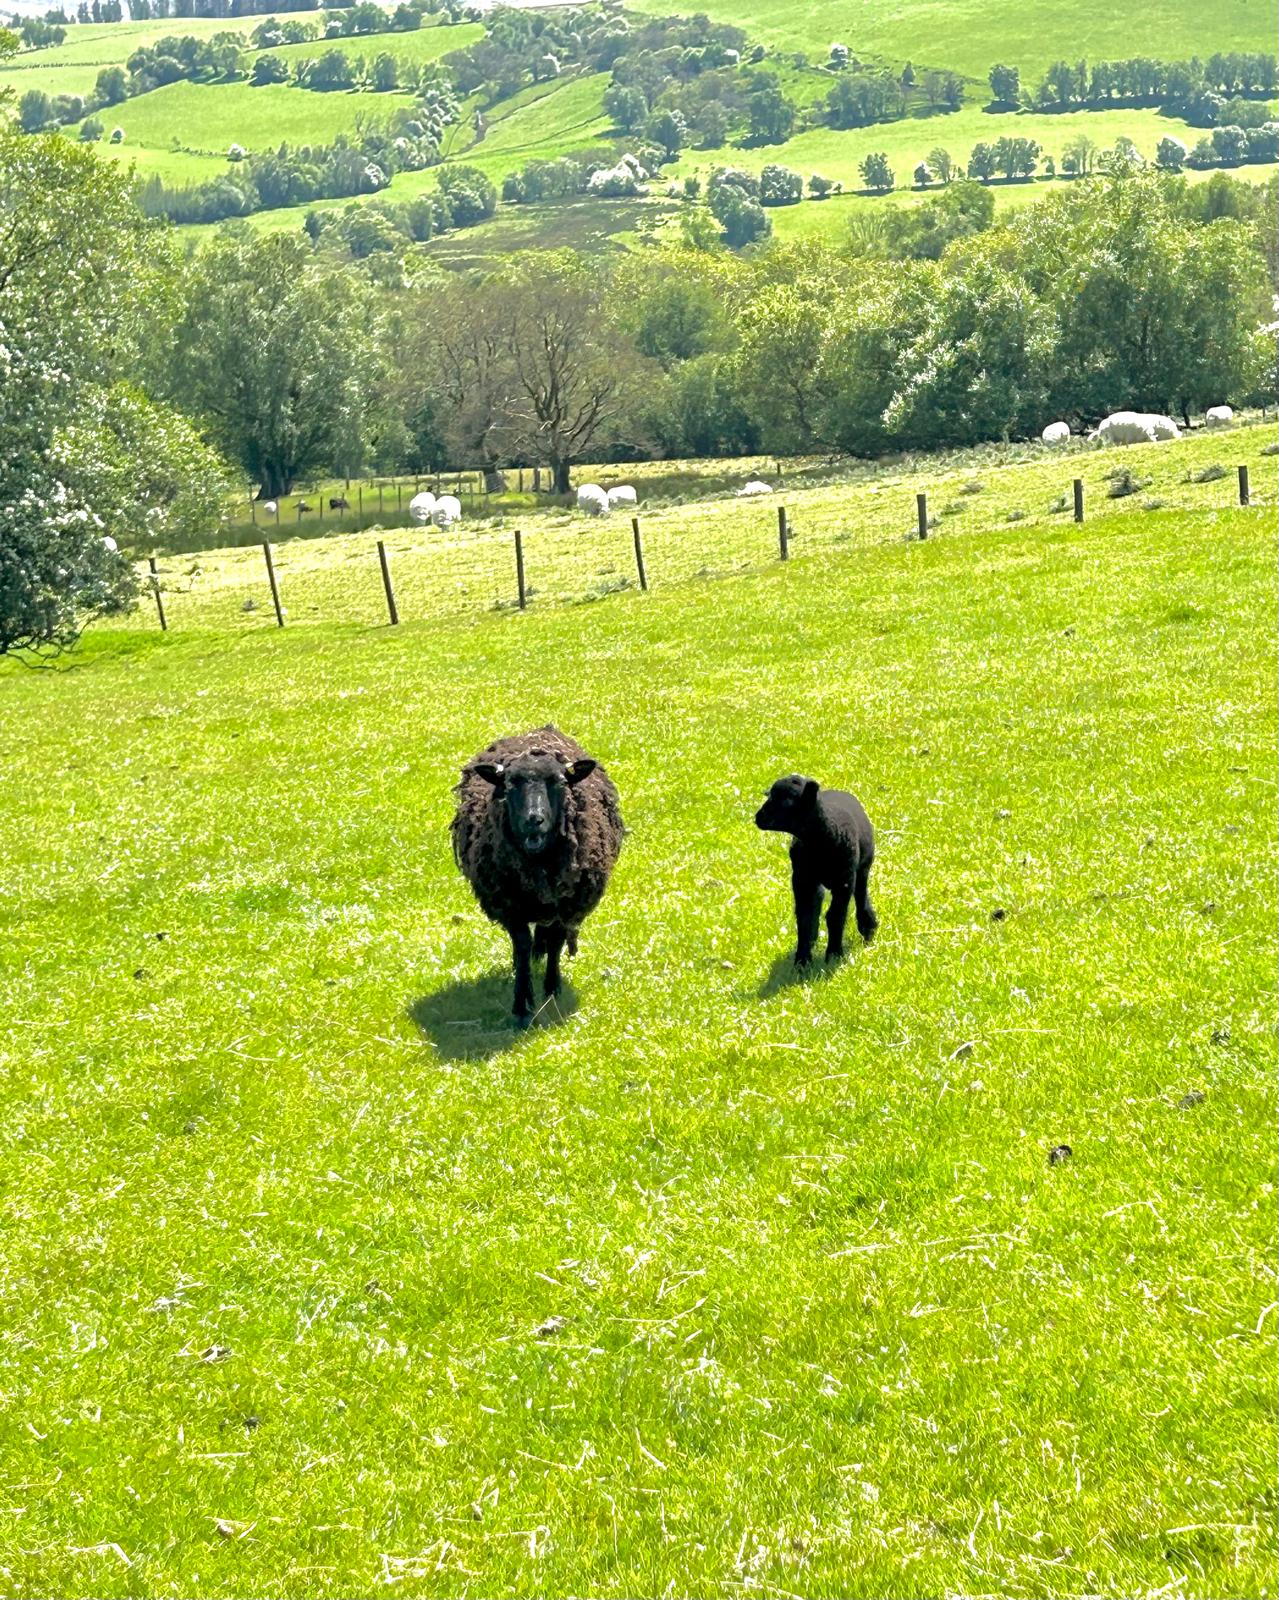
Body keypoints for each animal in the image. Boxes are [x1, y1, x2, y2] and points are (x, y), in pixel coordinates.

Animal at [451, 726, 624, 1026]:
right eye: (510, 785)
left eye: (559, 783)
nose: (534, 820)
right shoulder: (511, 907)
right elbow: (521, 946)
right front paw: (522, 1004)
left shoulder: (565, 905)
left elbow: (555, 941)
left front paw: (552, 990)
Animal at [755, 774, 877, 966]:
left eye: (785, 799)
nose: (758, 817)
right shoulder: (801, 879)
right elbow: (805, 917)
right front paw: (802, 960)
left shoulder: (845, 880)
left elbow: (835, 916)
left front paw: (834, 954)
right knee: (817, 901)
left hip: (862, 868)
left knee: (861, 895)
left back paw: (868, 929)